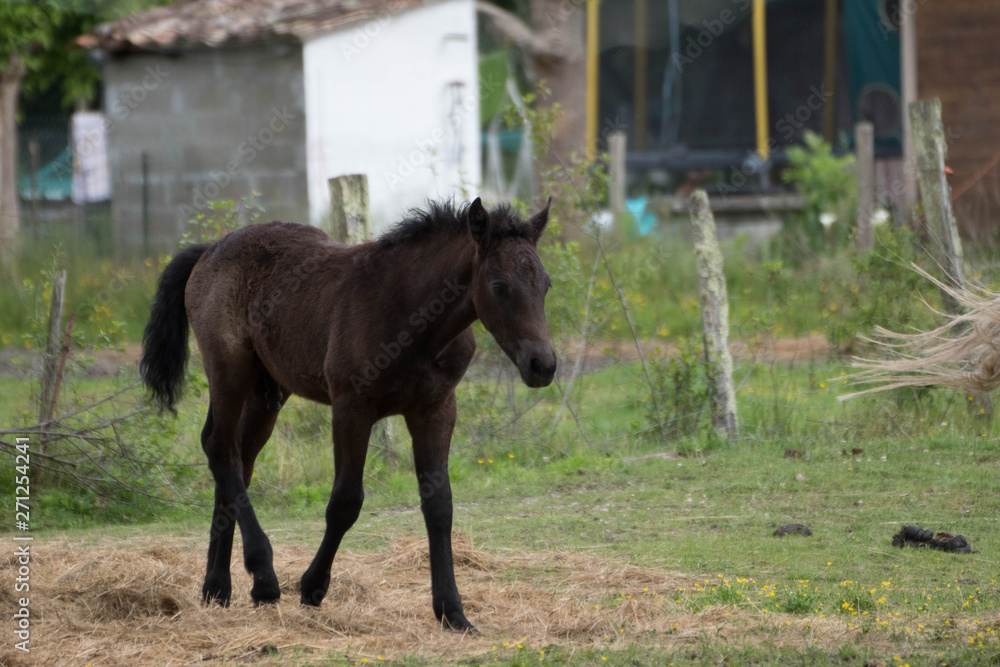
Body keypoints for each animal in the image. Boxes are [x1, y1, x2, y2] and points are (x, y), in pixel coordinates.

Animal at [139, 197, 556, 633]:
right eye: (498, 286)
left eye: (545, 283)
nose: (543, 365)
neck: (412, 316)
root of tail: (210, 249)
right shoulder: (351, 407)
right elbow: (345, 501)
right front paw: (312, 587)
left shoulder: (436, 409)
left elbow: (440, 504)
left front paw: (453, 612)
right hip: (228, 369)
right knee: (220, 448)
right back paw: (262, 576)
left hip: (266, 391)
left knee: (238, 457)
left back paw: (218, 588)